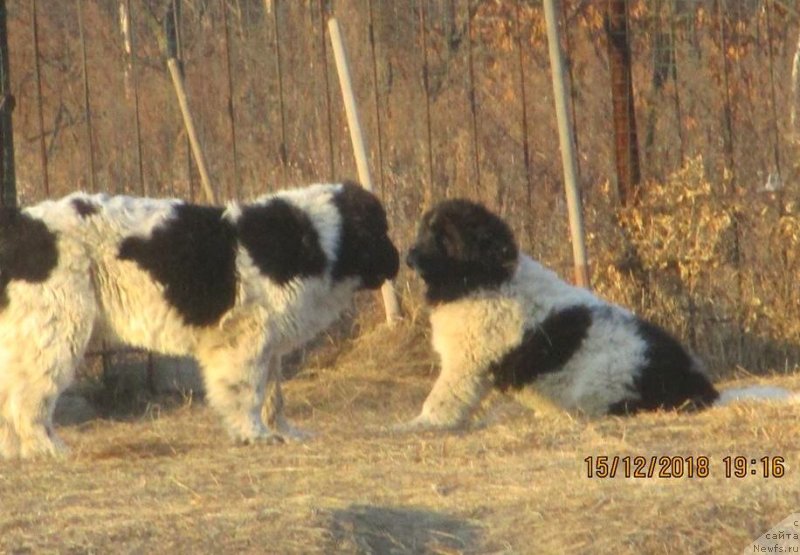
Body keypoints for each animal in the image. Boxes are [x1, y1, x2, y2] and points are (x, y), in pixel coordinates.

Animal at [0, 180, 400, 458]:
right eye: (380, 231)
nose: (400, 259)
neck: (317, 239)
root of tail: (20, 226)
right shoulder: (245, 339)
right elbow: (247, 392)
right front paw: (253, 434)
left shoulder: (268, 343)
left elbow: (273, 395)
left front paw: (285, 432)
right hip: (55, 331)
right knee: (30, 399)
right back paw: (49, 448)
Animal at [400, 198, 788, 432]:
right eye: (424, 231)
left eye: (443, 238)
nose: (408, 255)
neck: (485, 278)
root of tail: (703, 390)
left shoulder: (466, 363)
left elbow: (443, 398)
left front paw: (419, 424)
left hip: (604, 383)